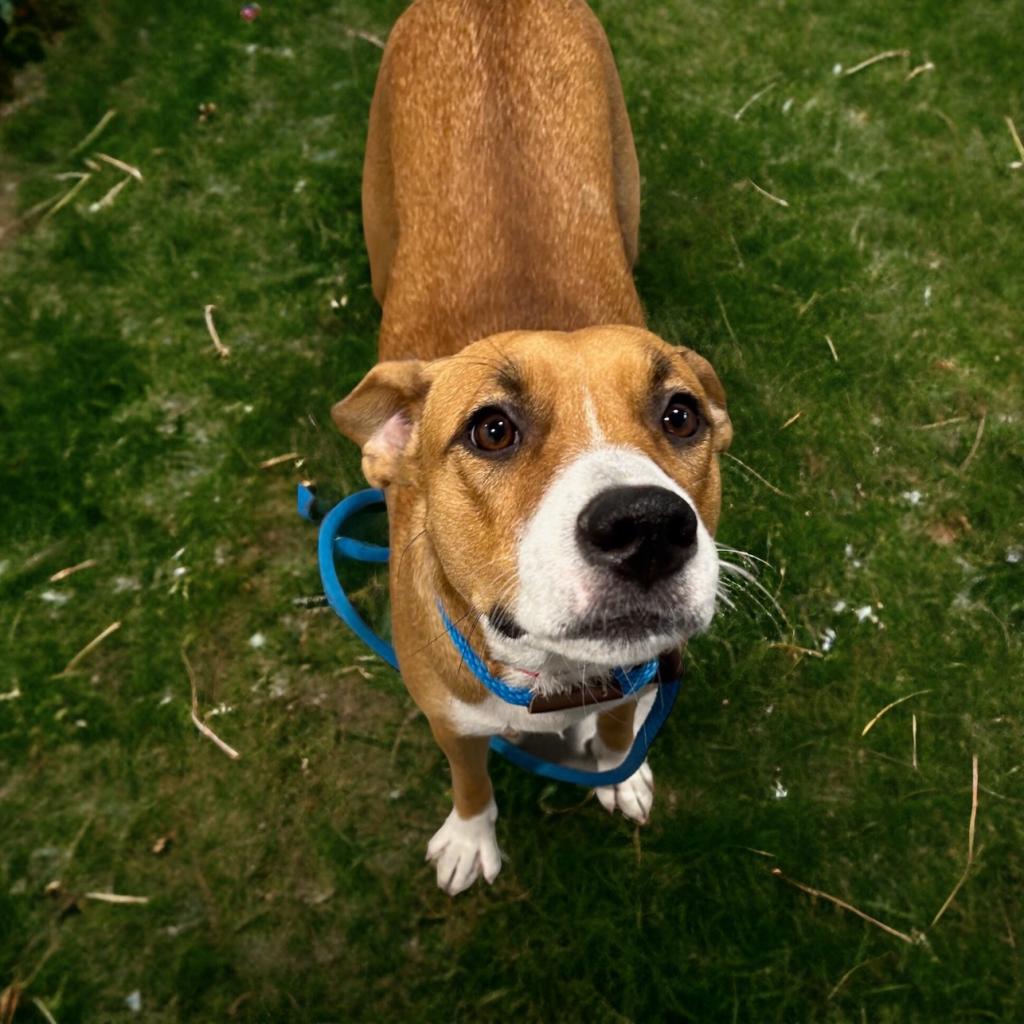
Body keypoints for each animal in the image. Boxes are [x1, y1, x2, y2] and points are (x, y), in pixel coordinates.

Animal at [331, 0, 733, 897]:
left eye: (680, 416)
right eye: (491, 429)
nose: (646, 527)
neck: (550, 677)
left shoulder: (635, 673)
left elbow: (618, 729)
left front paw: (623, 772)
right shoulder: (447, 717)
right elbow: (470, 776)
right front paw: (470, 837)